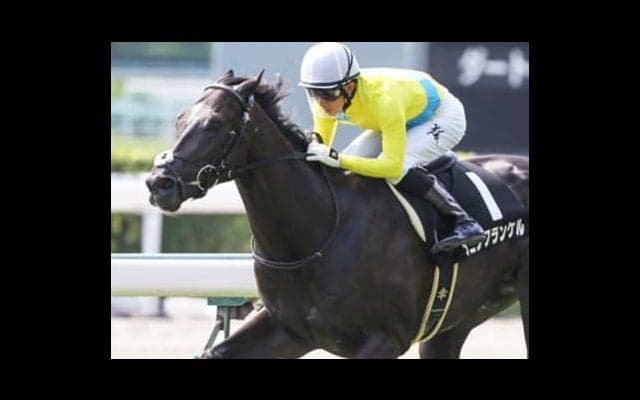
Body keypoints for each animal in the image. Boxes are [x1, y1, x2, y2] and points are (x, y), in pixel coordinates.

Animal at [145, 70, 529, 359]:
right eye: (180, 119)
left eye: (214, 123)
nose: (158, 183)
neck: (316, 232)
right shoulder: (289, 329)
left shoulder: (385, 338)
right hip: (453, 320)